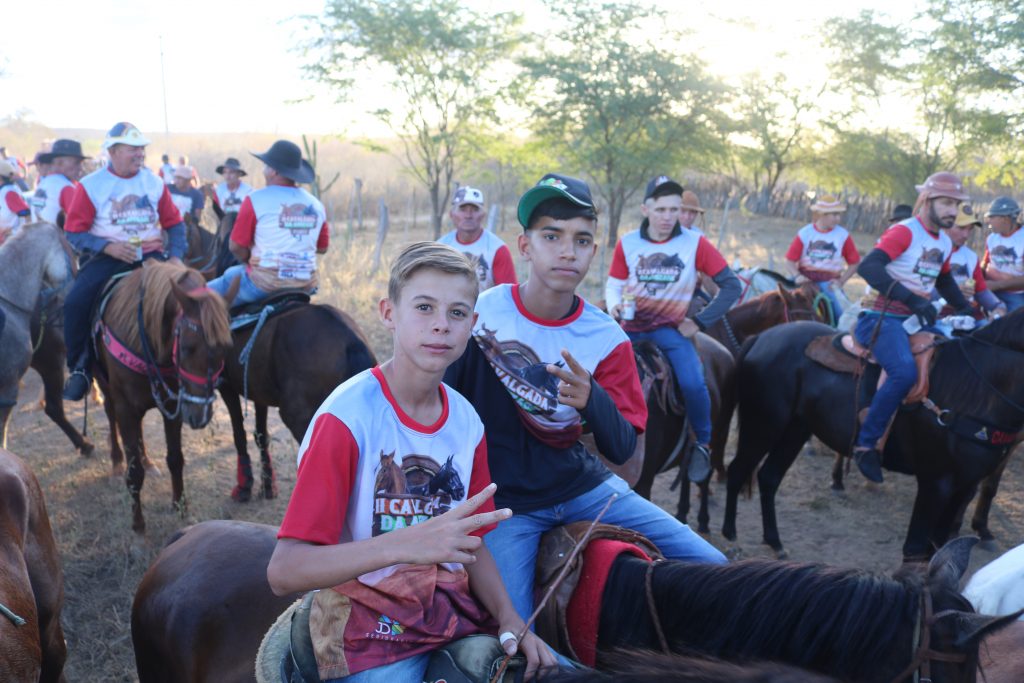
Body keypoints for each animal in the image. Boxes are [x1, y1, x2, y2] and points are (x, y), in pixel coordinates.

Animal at [94, 261, 236, 532]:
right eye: (187, 348)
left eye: (225, 348)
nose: (200, 416)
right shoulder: (125, 406)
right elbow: (134, 472)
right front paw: (138, 524)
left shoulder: (173, 406)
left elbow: (175, 459)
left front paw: (181, 507)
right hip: (105, 386)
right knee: (109, 414)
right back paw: (117, 462)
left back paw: (148, 461)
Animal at [218, 302, 376, 502]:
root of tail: (350, 341)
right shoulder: (258, 393)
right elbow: (261, 435)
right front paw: (267, 486)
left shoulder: (225, 385)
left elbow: (239, 433)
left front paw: (244, 486)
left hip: (299, 418)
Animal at [722, 311, 1024, 561]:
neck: (976, 389)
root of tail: (761, 337)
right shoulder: (934, 484)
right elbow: (916, 548)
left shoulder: (965, 487)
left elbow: (940, 547)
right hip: (764, 424)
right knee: (737, 470)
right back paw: (730, 539)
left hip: (795, 429)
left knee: (768, 477)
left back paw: (774, 541)